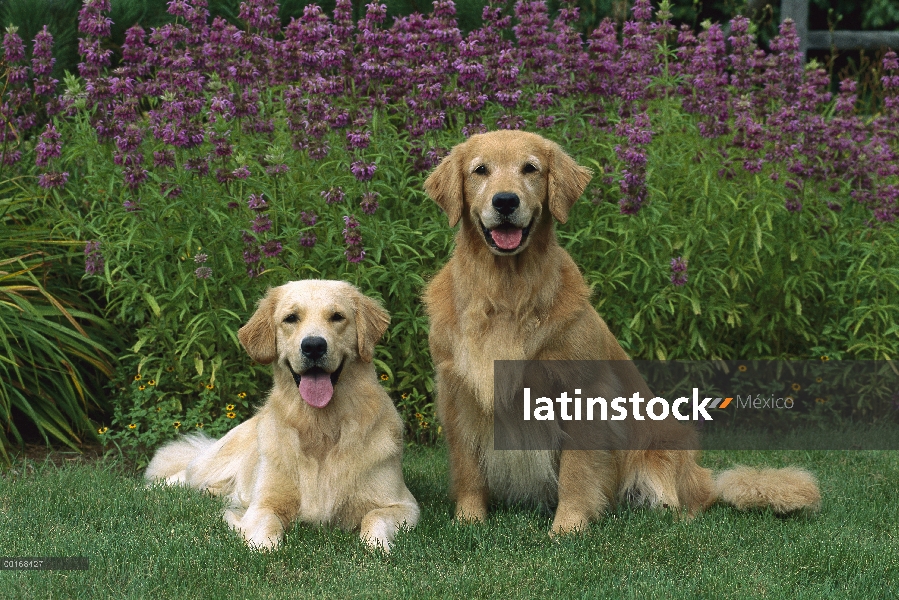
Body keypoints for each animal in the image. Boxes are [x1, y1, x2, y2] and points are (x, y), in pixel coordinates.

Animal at [143, 282, 418, 552]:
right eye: (291, 318)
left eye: (337, 317)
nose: (314, 346)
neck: (320, 426)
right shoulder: (263, 505)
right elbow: (268, 530)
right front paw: (263, 545)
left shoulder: (404, 505)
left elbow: (374, 519)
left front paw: (377, 545)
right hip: (212, 461)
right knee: (183, 472)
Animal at [422, 131, 824, 536]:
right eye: (480, 170)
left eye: (530, 168)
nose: (505, 201)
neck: (507, 292)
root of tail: (704, 476)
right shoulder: (457, 393)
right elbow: (468, 470)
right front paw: (469, 520)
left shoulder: (581, 393)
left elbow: (576, 473)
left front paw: (568, 527)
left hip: (664, 452)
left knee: (692, 502)